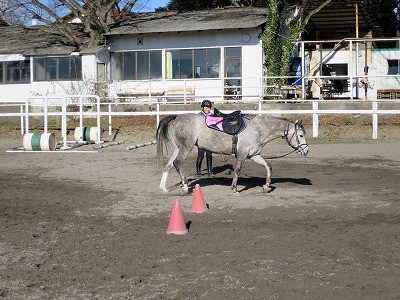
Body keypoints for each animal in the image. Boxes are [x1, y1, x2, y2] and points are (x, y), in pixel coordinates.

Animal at [155, 113, 308, 195]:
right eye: (300, 135)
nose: (306, 151)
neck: (258, 129)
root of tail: (178, 117)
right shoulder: (242, 155)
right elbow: (237, 170)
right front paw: (235, 189)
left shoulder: (254, 155)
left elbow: (268, 166)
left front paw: (266, 186)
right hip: (186, 148)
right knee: (177, 163)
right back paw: (185, 187)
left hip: (178, 148)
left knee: (168, 165)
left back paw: (163, 188)